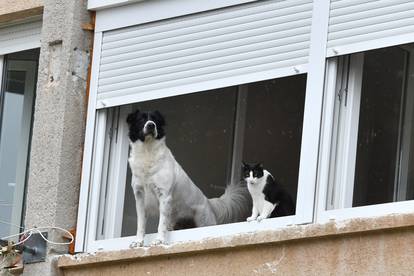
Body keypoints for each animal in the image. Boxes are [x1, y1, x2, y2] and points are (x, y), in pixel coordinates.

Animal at [126, 109, 249, 246]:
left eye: (155, 120)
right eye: (141, 119)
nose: (151, 125)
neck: (147, 151)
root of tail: (208, 202)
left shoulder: (164, 195)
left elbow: (161, 223)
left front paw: (159, 240)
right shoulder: (140, 197)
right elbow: (140, 224)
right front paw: (138, 242)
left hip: (204, 222)